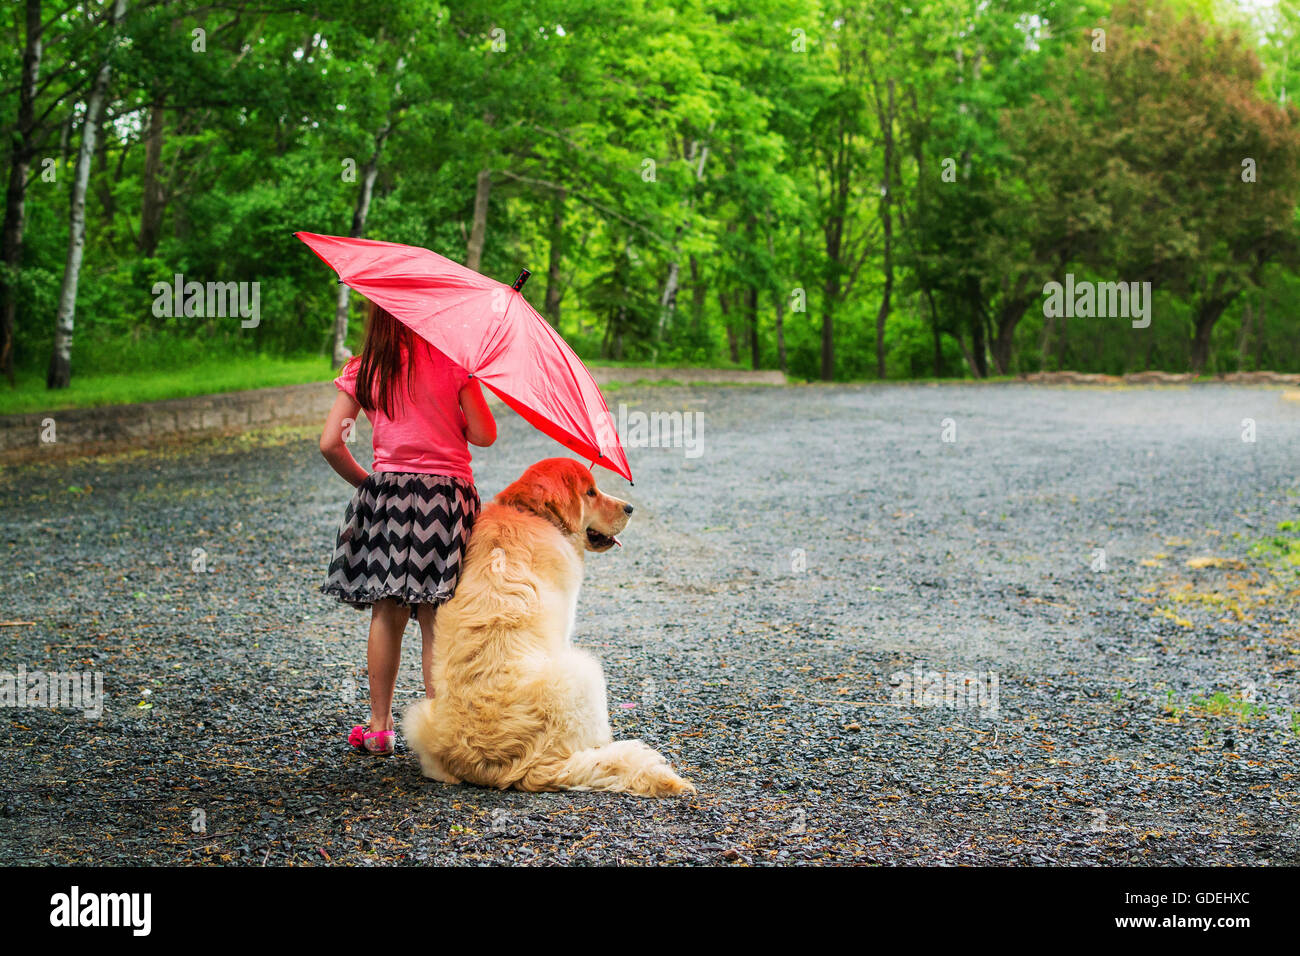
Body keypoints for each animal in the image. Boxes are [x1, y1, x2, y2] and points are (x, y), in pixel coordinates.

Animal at [403, 460, 696, 796]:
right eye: (591, 492)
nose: (630, 507)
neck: (527, 511)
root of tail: (521, 769)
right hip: (584, 670)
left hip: (419, 715)